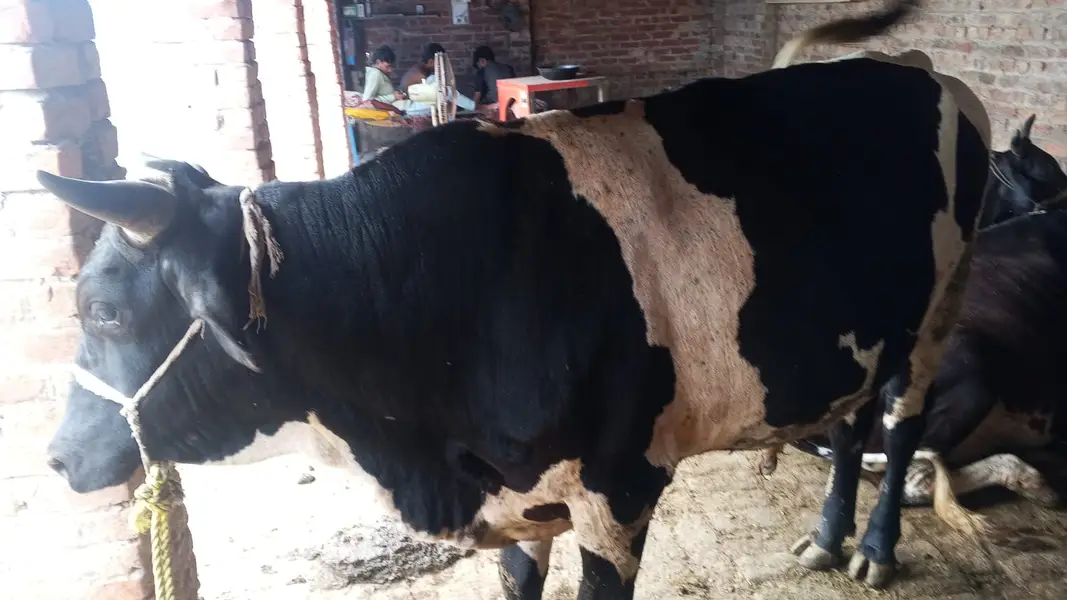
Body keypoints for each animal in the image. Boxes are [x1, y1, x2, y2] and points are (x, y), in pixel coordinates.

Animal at [41, 1, 988, 597]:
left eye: (105, 312)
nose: (55, 460)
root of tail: (914, 67)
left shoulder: (618, 491)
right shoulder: (519, 492)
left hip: (939, 310)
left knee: (900, 424)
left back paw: (873, 550)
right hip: (860, 330)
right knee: (849, 425)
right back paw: (826, 540)